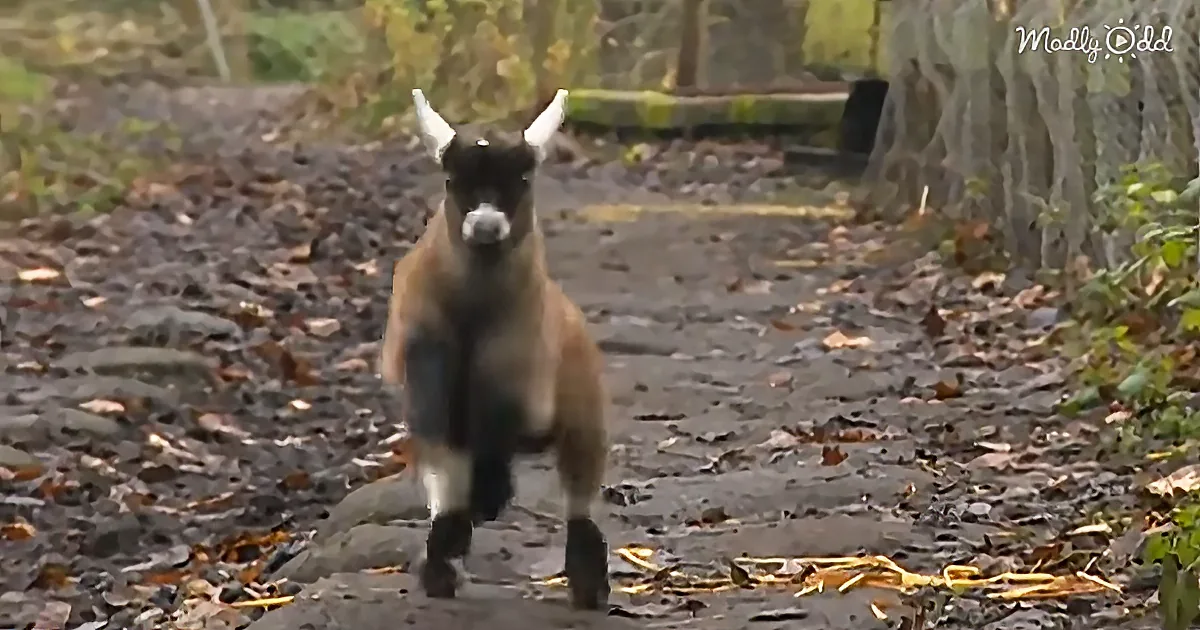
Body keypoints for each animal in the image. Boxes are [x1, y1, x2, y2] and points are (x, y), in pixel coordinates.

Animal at [378, 89, 610, 610]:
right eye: (451, 179)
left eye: (523, 179)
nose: (485, 226)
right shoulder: (422, 358)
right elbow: (442, 447)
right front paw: (454, 536)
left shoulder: (516, 374)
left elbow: (497, 429)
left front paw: (489, 497)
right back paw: (444, 558)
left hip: (583, 416)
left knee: (579, 494)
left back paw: (589, 583)